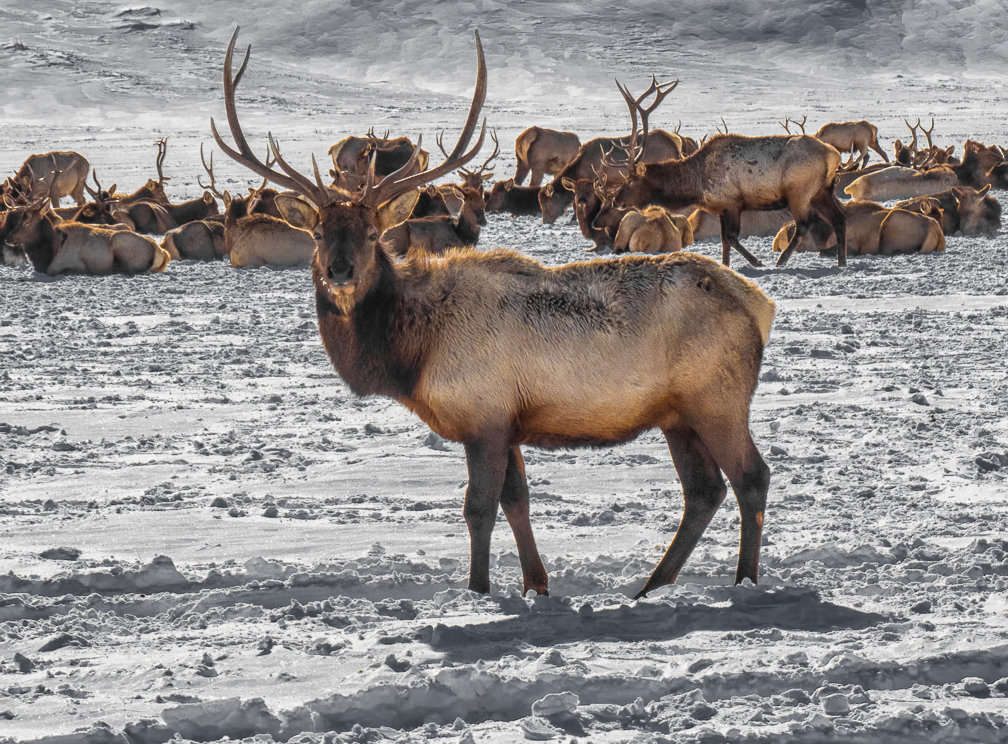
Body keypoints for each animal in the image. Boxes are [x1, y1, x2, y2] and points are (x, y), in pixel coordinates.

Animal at [4, 199, 169, 276]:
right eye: (18, 219)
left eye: (26, 222)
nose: (8, 238)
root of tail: (162, 253)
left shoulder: (69, 265)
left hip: (120, 242)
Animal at [214, 26, 778, 600]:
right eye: (318, 234)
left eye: (372, 234)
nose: (341, 270)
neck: (410, 354)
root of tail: (759, 304)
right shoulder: (507, 423)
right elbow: (517, 502)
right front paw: (537, 585)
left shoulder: (483, 418)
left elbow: (479, 509)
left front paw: (479, 591)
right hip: (676, 414)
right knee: (704, 491)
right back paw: (650, 587)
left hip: (717, 398)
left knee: (751, 478)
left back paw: (744, 581)